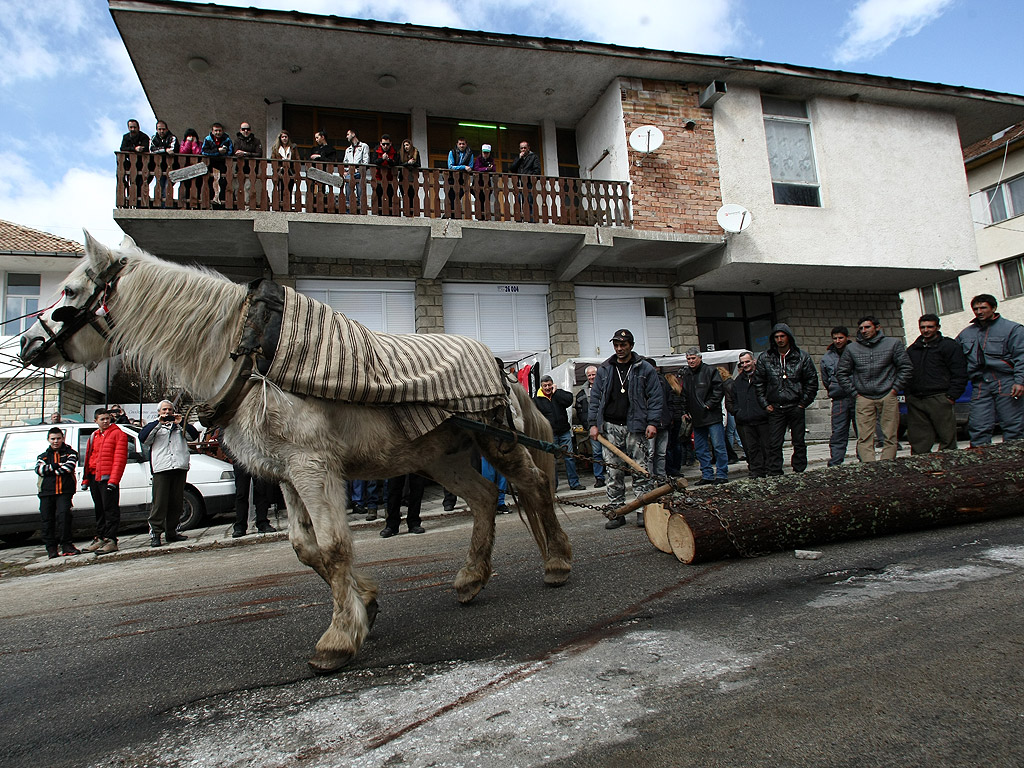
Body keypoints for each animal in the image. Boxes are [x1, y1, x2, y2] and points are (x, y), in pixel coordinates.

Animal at [16, 236, 573, 671]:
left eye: (69, 291)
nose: (25, 345)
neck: (251, 350)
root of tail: (501, 365)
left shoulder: (312, 466)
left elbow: (333, 546)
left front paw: (339, 638)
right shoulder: (284, 474)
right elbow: (307, 549)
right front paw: (365, 603)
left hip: (496, 441)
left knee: (533, 486)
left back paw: (557, 563)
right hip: (444, 458)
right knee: (482, 498)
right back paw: (472, 578)